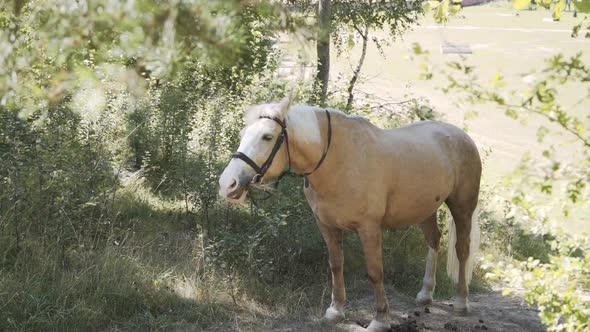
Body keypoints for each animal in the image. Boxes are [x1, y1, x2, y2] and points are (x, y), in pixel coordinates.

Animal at [220, 92, 484, 330]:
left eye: (267, 136)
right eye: (243, 134)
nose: (228, 184)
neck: (339, 159)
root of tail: (462, 136)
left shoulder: (369, 228)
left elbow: (375, 272)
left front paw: (380, 319)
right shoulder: (326, 225)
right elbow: (336, 265)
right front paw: (335, 312)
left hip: (462, 206)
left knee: (462, 249)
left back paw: (461, 303)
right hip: (425, 209)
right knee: (433, 240)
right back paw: (425, 294)